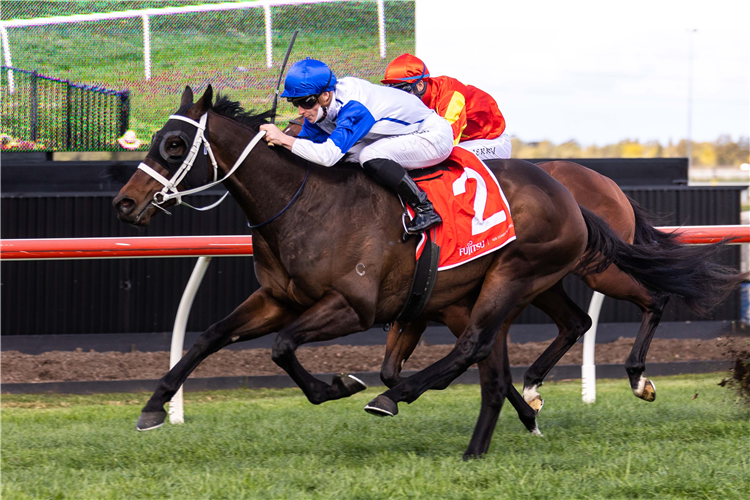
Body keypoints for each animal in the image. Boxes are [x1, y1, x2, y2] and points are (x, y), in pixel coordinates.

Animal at [111, 85, 707, 459]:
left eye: (175, 144)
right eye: (156, 140)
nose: (124, 204)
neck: (305, 202)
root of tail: (571, 191)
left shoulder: (353, 307)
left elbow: (283, 348)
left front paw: (337, 384)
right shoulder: (280, 299)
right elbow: (210, 335)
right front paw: (154, 407)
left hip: (524, 275)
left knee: (493, 343)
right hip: (524, 285)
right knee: (527, 347)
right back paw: (492, 432)